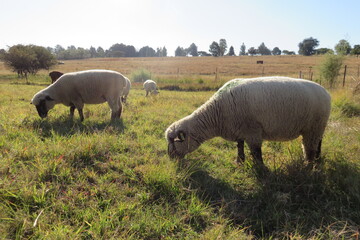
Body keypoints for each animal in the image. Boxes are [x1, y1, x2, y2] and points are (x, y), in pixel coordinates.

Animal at [165, 76, 330, 168]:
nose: (170, 158)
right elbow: (240, 147)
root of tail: (325, 92)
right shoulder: (240, 129)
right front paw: (240, 162)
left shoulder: (253, 131)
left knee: (309, 147)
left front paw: (261, 169)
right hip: (318, 127)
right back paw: (318, 159)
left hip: (314, 126)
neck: (216, 115)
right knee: (319, 143)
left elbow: (256, 152)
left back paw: (308, 165)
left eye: (174, 141)